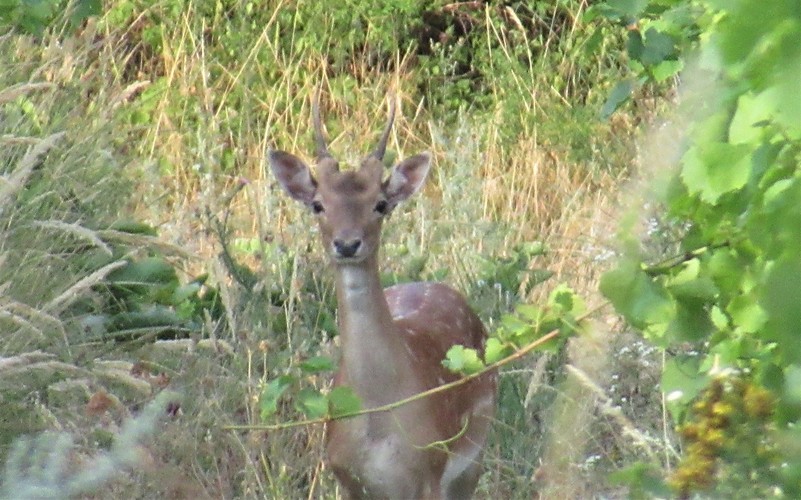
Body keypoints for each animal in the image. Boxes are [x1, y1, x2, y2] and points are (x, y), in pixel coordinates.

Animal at [268, 95, 494, 498]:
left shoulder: (431, 471)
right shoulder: (345, 477)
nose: (347, 243)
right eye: (318, 204)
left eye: (381, 204)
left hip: (473, 454)